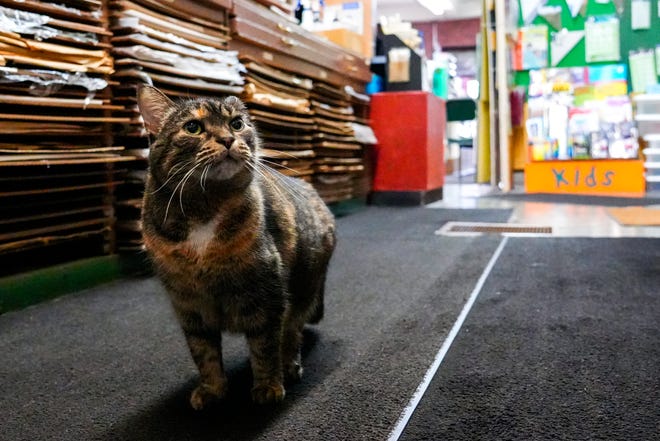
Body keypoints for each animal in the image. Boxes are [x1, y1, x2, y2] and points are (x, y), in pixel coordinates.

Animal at [138, 84, 336, 408]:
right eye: (193, 127)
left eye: (237, 124)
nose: (228, 139)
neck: (205, 207)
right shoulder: (188, 304)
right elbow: (203, 353)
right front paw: (213, 390)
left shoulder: (266, 294)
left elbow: (265, 347)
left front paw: (268, 387)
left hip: (304, 287)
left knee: (291, 330)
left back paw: (290, 365)